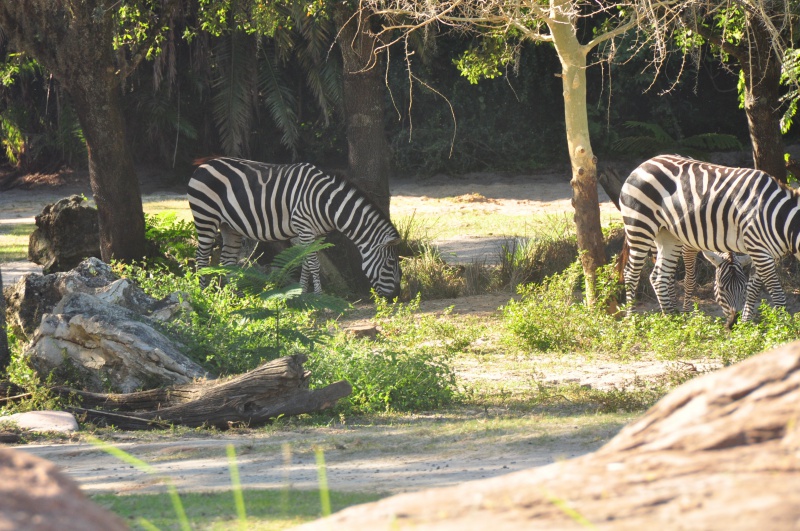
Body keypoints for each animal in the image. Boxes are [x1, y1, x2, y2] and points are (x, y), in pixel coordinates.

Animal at [187, 157, 400, 300]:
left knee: (227, 261)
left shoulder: (315, 235)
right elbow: (314, 264)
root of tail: (204, 164)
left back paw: (231, 296)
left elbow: (306, 262)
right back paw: (202, 293)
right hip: (206, 218)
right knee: (202, 257)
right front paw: (319, 296)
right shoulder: (304, 227)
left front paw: (302, 293)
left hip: (229, 227)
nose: (396, 296)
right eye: (390, 264)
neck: (327, 203)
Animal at [616, 156, 796, 324]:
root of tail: (646, 162)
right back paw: (632, 318)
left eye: (742, 289)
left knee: (660, 274)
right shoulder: (689, 247)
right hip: (641, 227)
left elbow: (755, 285)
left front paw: (747, 320)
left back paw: (670, 312)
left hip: (663, 235)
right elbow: (690, 280)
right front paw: (687, 313)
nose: (734, 321)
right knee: (632, 273)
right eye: (721, 289)